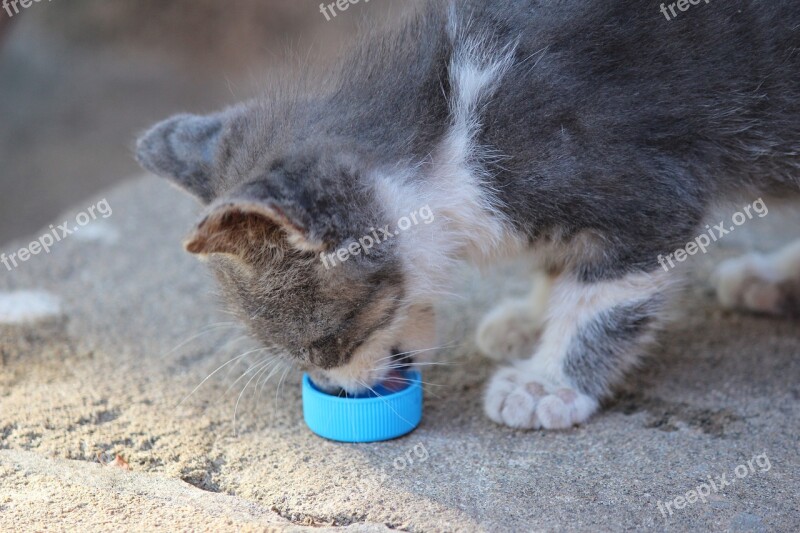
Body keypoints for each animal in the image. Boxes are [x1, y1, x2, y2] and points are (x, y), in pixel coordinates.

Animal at [138, 0, 800, 430]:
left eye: (325, 344)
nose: (331, 388)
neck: (454, 131)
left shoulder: (646, 190)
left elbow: (603, 296)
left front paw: (548, 380)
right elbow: (560, 258)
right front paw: (533, 318)